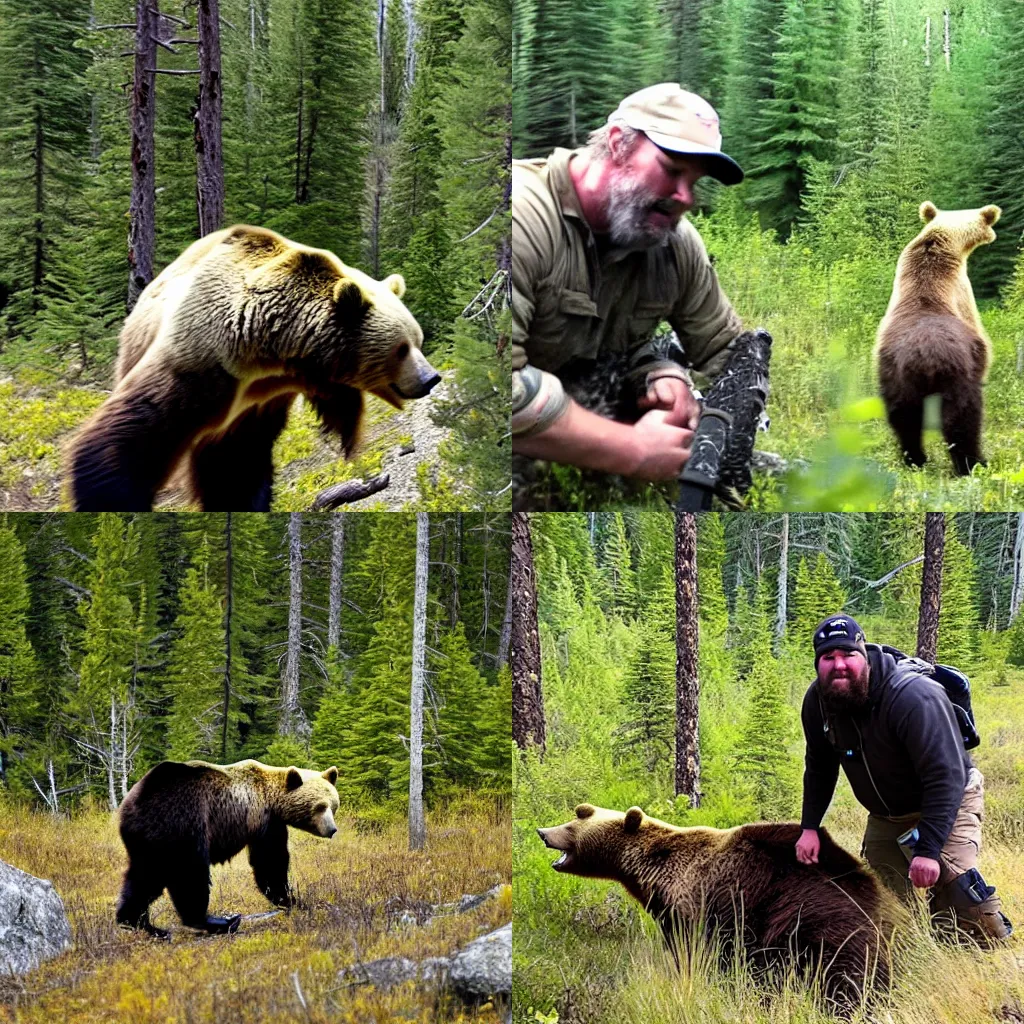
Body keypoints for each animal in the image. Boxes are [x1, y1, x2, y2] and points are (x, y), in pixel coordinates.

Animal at [540, 802, 901, 1011]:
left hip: (818, 925)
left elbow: (700, 955)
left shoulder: (700, 907)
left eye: (573, 824)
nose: (543, 831)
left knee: (845, 976)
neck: (656, 873)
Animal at [872, 201, 999, 477]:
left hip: (895, 375)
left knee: (904, 421)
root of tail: (924, 356)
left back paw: (915, 460)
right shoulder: (965, 303)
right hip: (957, 374)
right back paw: (973, 463)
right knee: (963, 419)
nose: (992, 234)